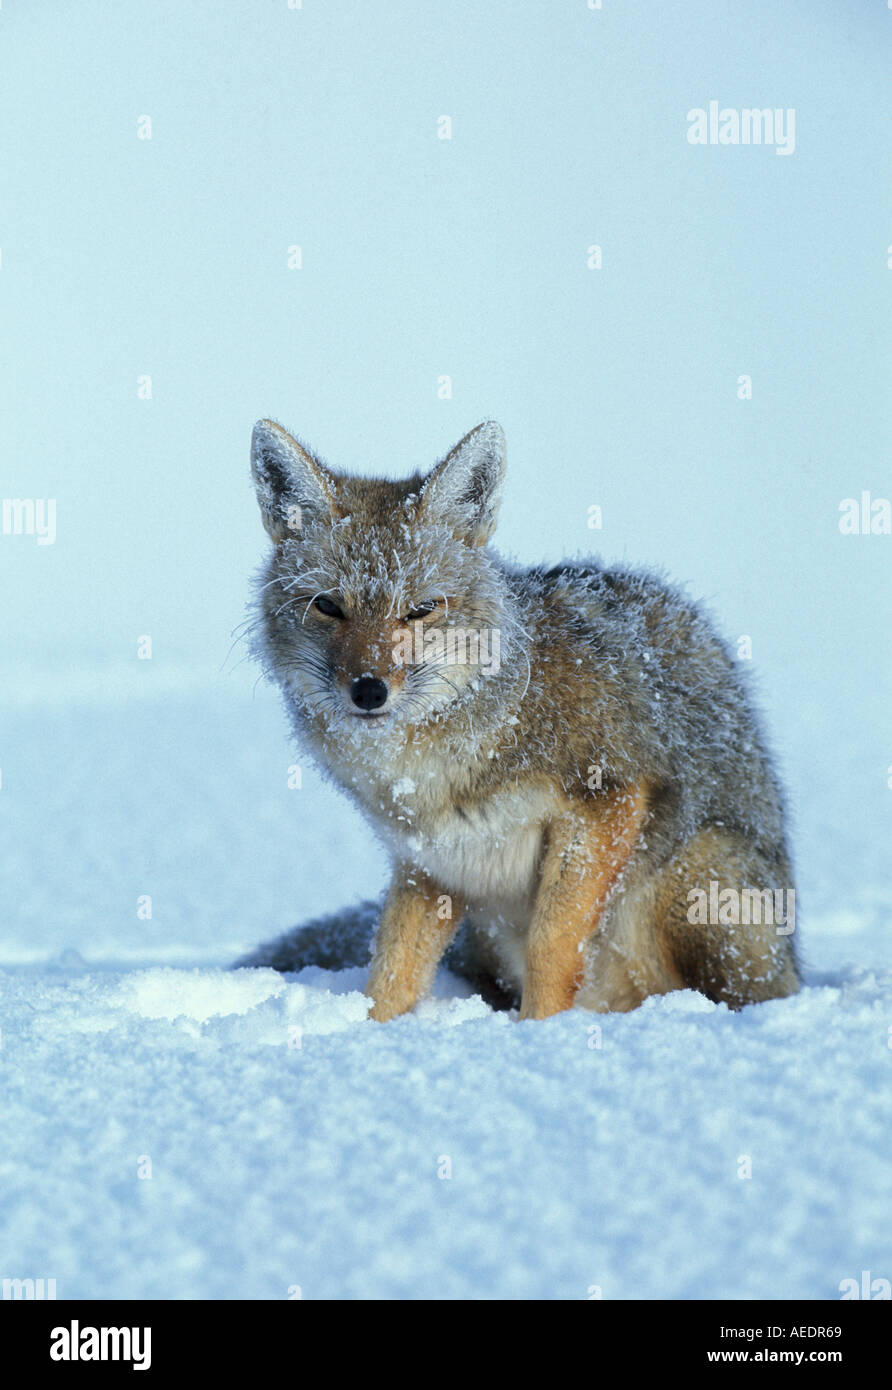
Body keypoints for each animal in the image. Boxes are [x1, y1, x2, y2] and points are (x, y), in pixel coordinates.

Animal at [244, 418, 799, 1020]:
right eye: (328, 606)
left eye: (420, 610)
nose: (368, 691)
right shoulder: (430, 865)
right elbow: (390, 970)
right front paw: (372, 1029)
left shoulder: (608, 799)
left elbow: (551, 944)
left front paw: (540, 1031)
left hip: (697, 874)